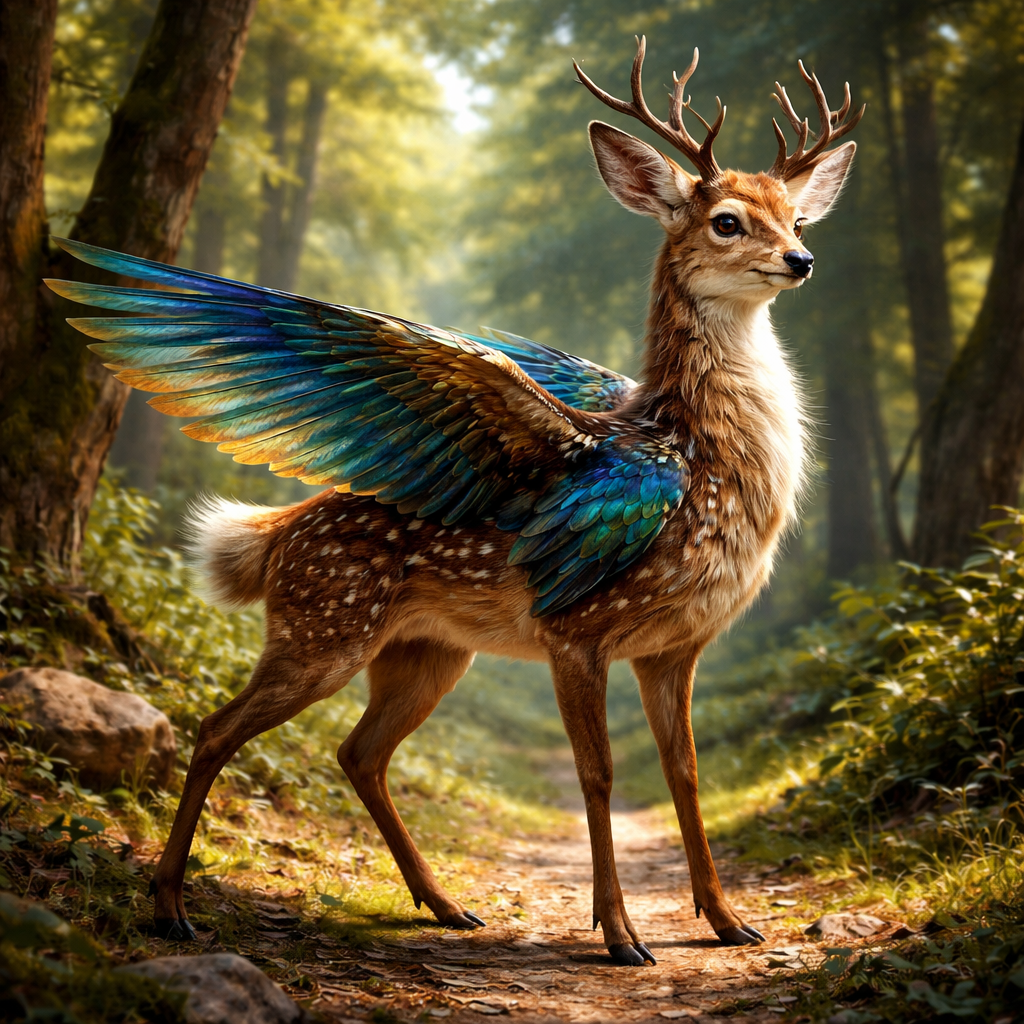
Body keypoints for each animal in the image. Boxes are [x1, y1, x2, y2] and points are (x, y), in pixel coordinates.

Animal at [49, 37, 862, 965]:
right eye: (728, 219)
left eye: (796, 218)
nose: (801, 260)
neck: (703, 463)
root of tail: (275, 537)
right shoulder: (577, 626)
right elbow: (599, 775)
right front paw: (620, 935)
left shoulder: (677, 645)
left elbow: (683, 773)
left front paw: (728, 921)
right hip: (324, 624)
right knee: (220, 728)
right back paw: (170, 907)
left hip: (428, 650)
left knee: (358, 752)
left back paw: (444, 905)